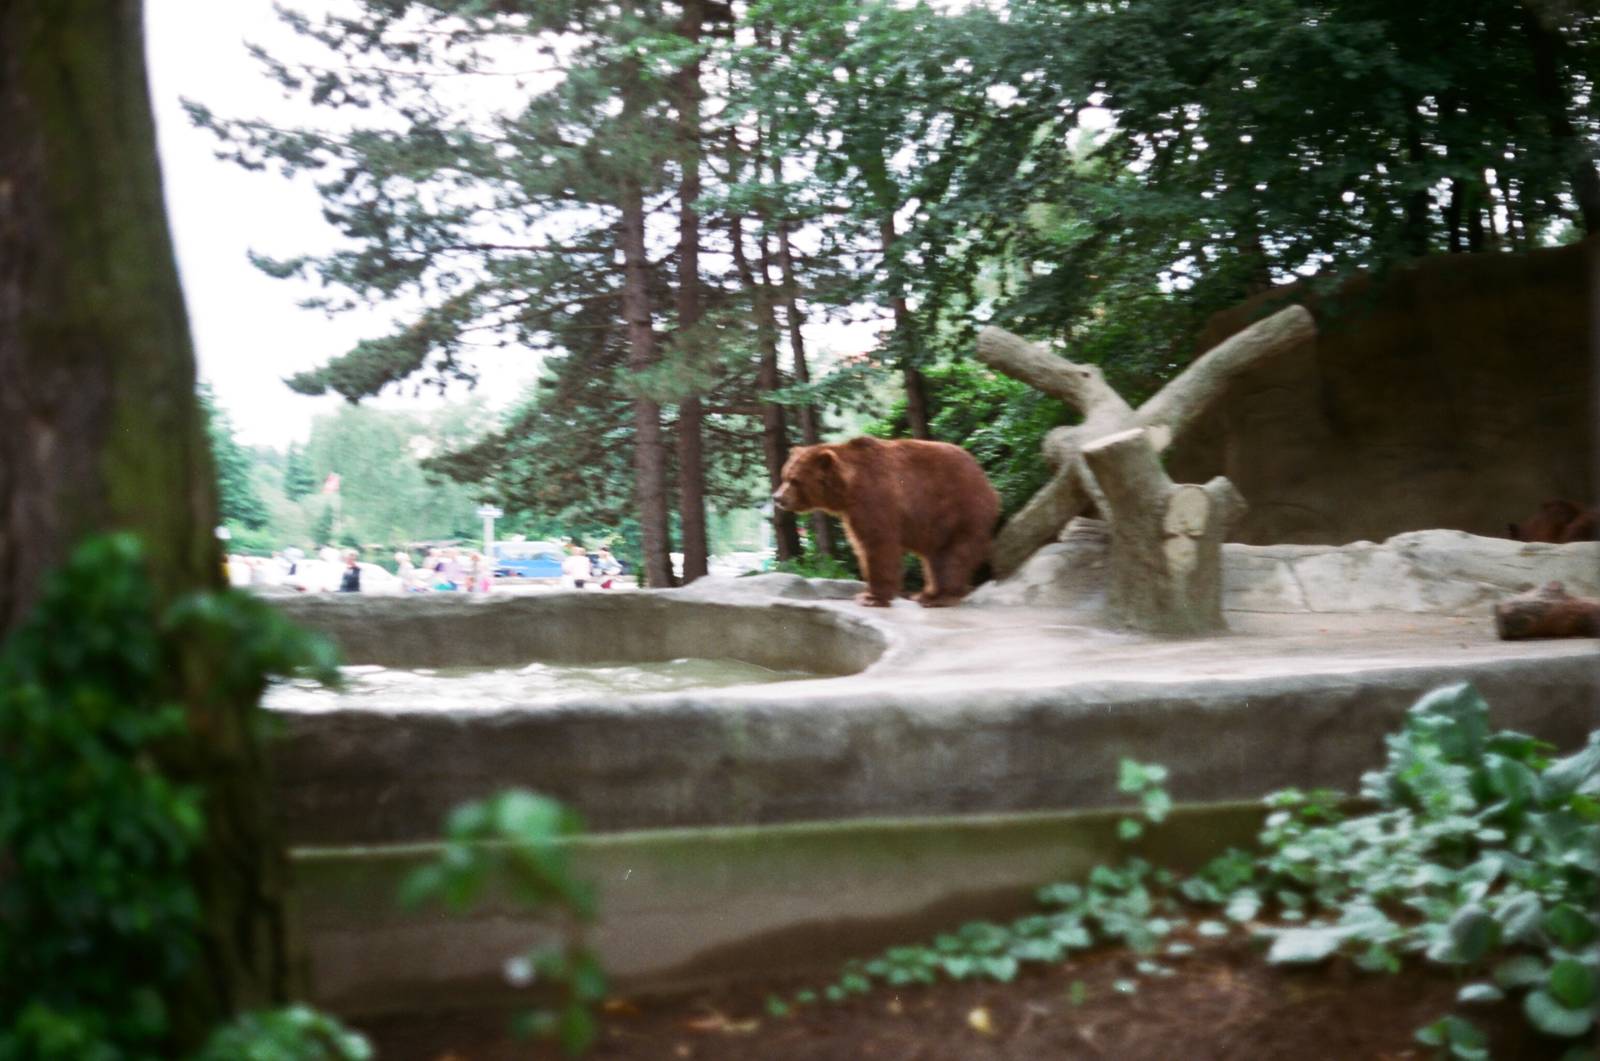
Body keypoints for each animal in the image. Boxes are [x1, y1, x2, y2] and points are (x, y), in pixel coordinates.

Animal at [772, 437, 1000, 608]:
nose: (778, 497)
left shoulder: (875, 498)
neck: (848, 489)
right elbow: (863, 545)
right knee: (935, 558)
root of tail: (988, 484)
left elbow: (878, 544)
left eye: (795, 480)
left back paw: (941, 597)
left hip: (959, 510)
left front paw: (870, 597)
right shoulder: (852, 512)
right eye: (784, 476)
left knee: (953, 555)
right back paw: (927, 593)